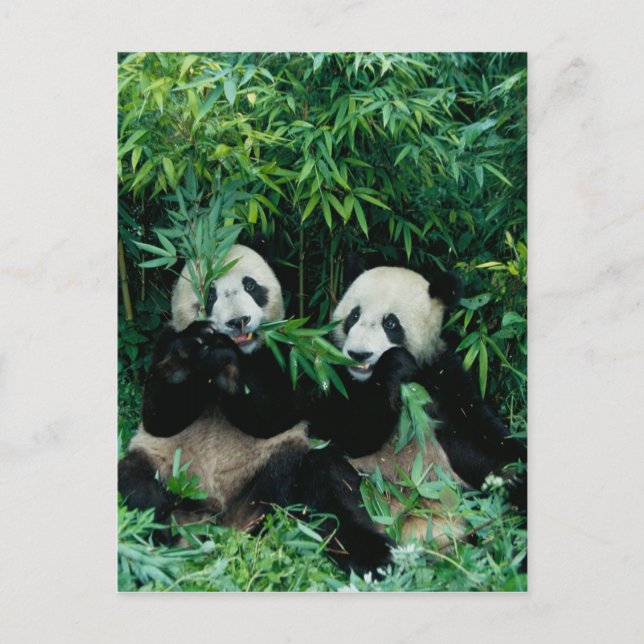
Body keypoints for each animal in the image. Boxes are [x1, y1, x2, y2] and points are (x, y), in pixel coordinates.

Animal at [118, 241, 392, 576]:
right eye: (210, 293)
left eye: (250, 285)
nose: (238, 321)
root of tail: (223, 518)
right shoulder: (165, 341)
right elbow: (159, 418)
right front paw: (184, 361)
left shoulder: (290, 352)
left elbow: (278, 412)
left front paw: (226, 364)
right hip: (167, 469)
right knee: (135, 486)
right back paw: (158, 541)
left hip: (277, 467)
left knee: (323, 484)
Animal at [306, 264, 527, 543]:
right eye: (354, 316)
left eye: (390, 323)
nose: (359, 354)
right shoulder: (333, 375)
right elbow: (342, 431)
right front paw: (394, 364)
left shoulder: (442, 379)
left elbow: (479, 442)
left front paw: (520, 477)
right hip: (367, 488)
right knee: (330, 486)